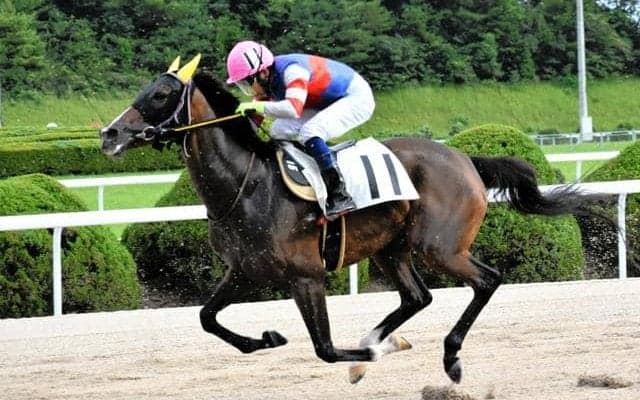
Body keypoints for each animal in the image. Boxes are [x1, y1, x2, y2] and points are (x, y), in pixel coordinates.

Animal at [100, 55, 610, 384]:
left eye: (161, 94)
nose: (109, 134)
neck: (247, 186)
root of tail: (465, 158)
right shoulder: (244, 270)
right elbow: (207, 318)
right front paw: (266, 338)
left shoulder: (306, 276)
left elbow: (324, 349)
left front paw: (367, 354)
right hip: (392, 249)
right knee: (417, 296)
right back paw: (386, 339)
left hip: (441, 247)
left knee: (486, 280)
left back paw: (447, 357)